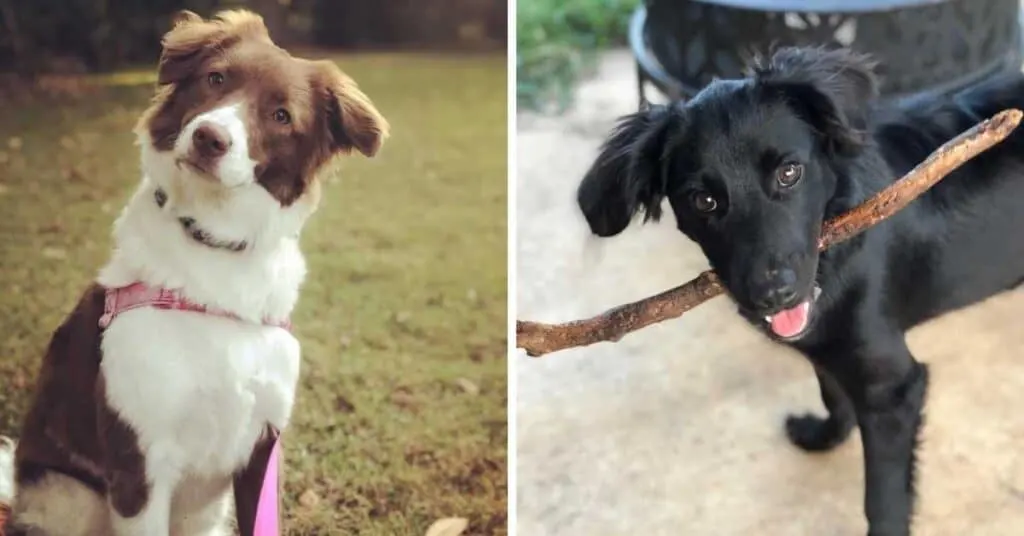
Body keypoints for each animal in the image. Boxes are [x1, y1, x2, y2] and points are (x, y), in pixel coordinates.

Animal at [0, 8, 387, 536]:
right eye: (215, 78)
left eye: (281, 116)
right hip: (67, 496)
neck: (215, 248)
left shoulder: (262, 449)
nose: (209, 138)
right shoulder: (139, 461)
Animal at [577, 47, 1024, 536]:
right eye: (703, 201)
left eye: (789, 172)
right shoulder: (825, 348)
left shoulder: (893, 390)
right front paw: (826, 436)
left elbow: (883, 499)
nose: (775, 295)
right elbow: (833, 392)